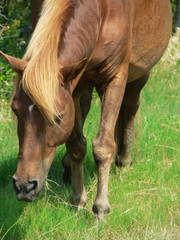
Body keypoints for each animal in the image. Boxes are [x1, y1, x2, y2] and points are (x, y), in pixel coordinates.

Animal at [0, 0, 172, 218]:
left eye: (57, 117)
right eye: (15, 110)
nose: (23, 186)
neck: (101, 12)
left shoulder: (115, 79)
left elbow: (103, 146)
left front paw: (100, 208)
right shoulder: (76, 84)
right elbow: (76, 145)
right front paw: (77, 200)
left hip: (141, 73)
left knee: (130, 108)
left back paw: (124, 163)